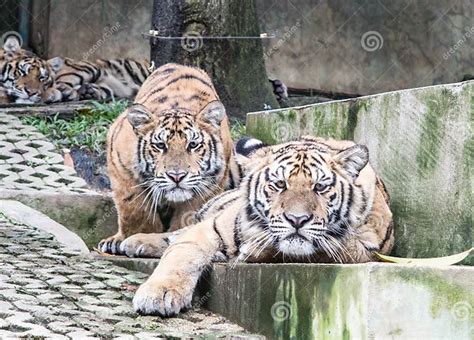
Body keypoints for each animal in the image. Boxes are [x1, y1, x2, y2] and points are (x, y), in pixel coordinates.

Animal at [96, 63, 244, 255]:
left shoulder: (209, 184)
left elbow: (187, 218)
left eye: (193, 144)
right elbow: (135, 211)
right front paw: (135, 238)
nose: (176, 176)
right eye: (160, 145)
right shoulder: (122, 168)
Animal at [120, 135, 394, 316]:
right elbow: (182, 252)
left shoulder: (369, 247)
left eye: (320, 187)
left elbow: (332, 247)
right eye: (279, 184)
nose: (297, 220)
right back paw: (133, 242)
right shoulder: (215, 225)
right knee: (178, 234)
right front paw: (159, 295)